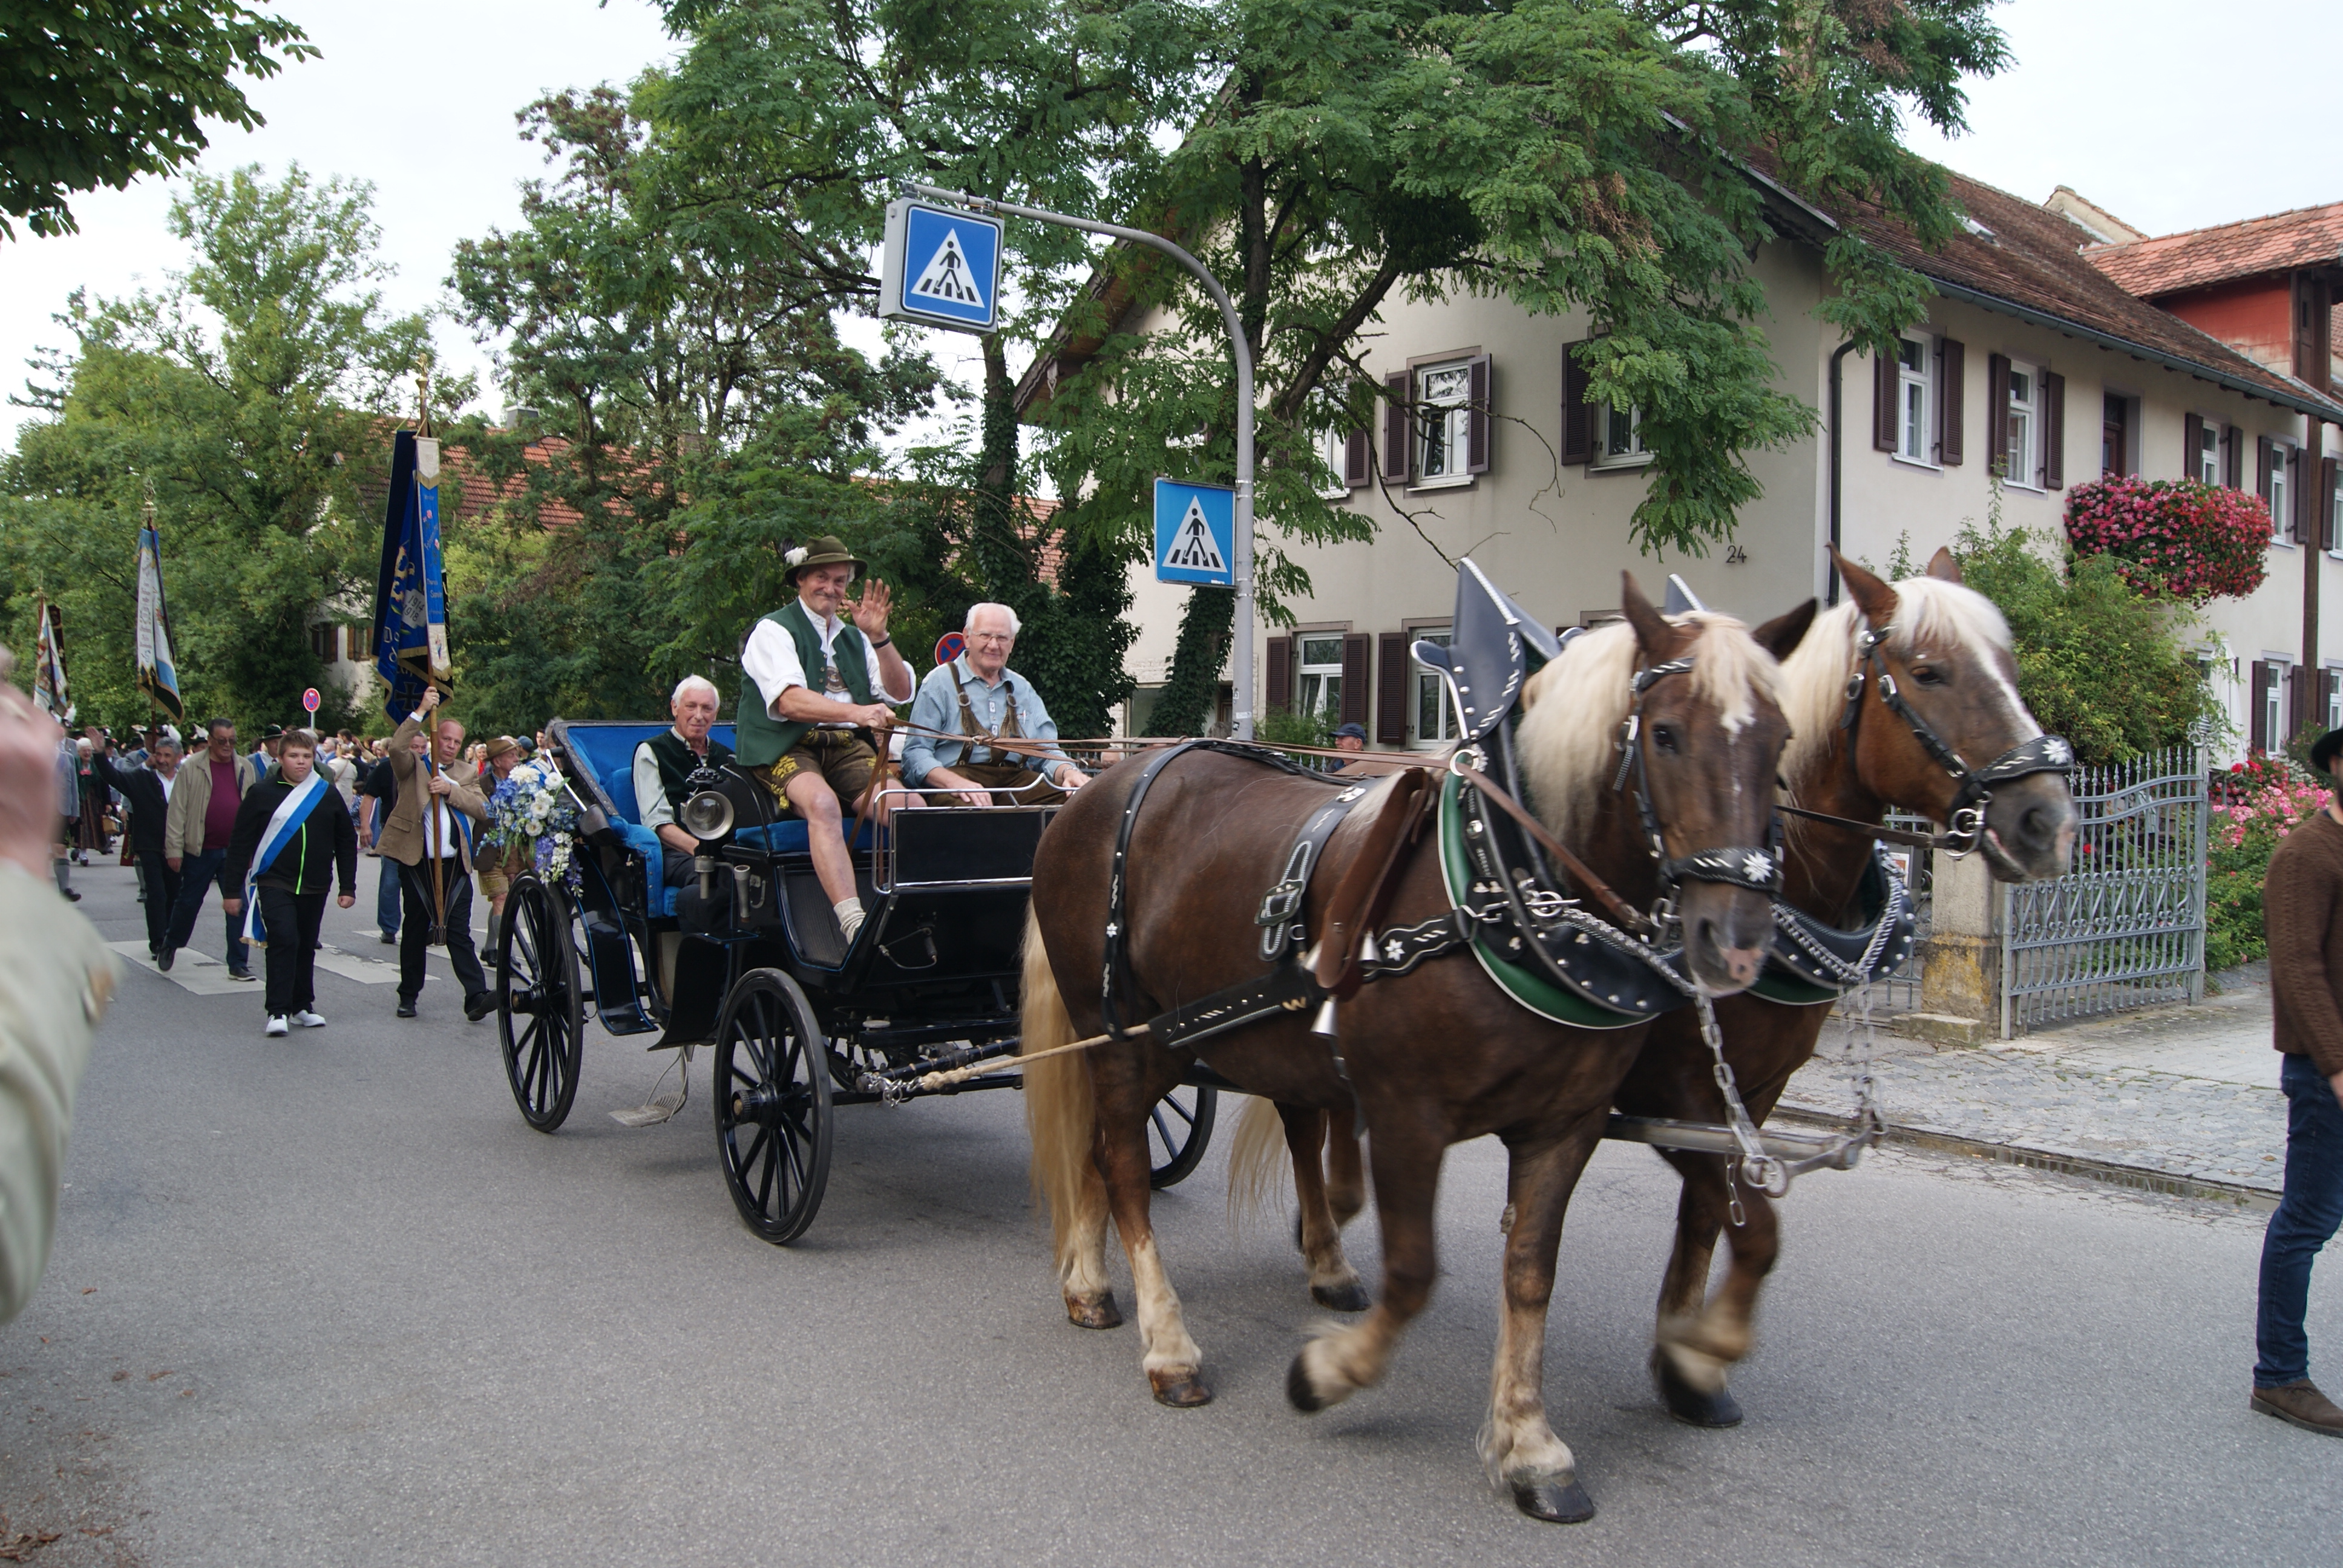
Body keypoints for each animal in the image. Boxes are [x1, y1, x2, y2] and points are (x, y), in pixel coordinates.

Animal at [1021, 572, 1809, 1518]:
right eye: (1663, 733)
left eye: (1781, 738)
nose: (1736, 941)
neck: (1504, 890)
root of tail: (1095, 789)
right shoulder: (1406, 1117)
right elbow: (1413, 1273)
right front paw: (1329, 1371)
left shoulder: (1571, 1123)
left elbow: (1533, 1273)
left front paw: (1533, 1445)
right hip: (1120, 1035)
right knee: (1128, 1169)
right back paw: (1168, 1345)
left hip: (1169, 1042)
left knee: (1104, 1150)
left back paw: (1090, 1285)